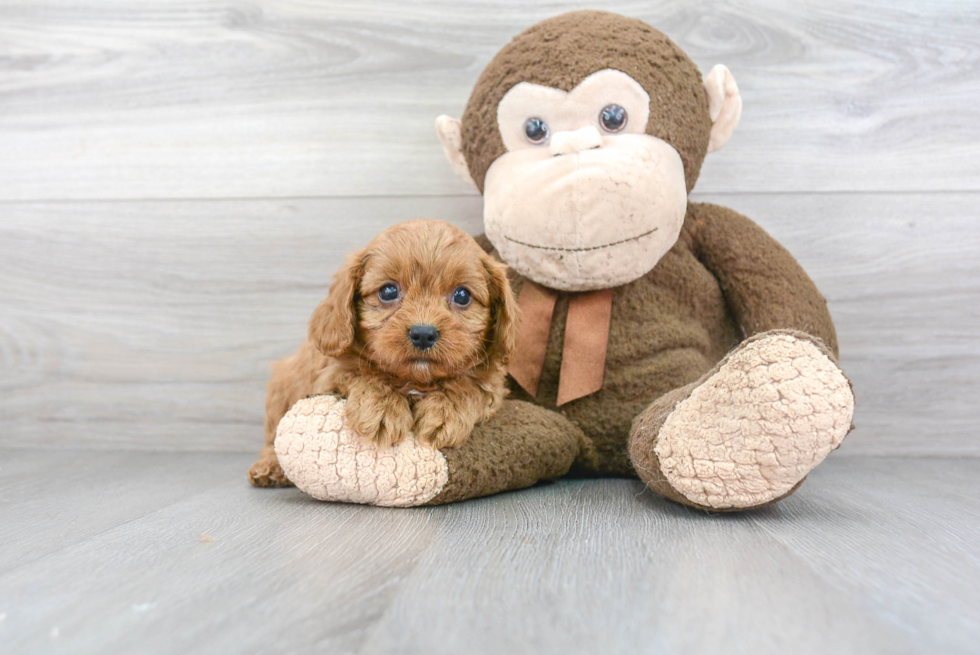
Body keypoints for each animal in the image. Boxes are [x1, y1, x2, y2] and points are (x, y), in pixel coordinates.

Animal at [249, 219, 516, 486]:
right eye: (388, 291)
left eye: (462, 296)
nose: (423, 334)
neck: (416, 380)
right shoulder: (330, 374)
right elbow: (364, 374)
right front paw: (382, 410)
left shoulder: (493, 385)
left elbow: (470, 386)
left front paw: (445, 412)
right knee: (273, 438)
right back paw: (269, 467)